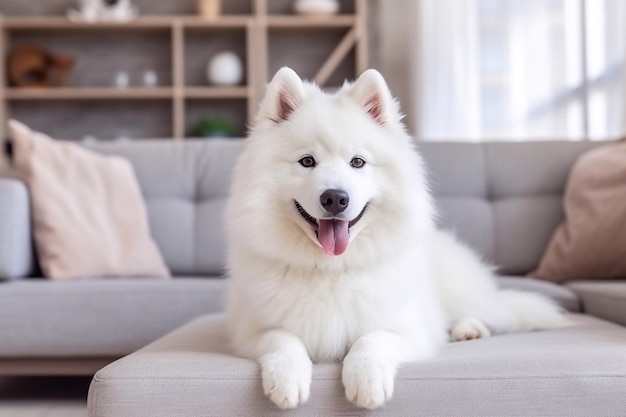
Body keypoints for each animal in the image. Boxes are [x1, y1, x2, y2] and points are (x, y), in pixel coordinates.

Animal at [224, 67, 564, 410]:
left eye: (357, 162)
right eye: (307, 161)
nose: (335, 198)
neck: (332, 268)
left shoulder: (409, 331)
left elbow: (372, 340)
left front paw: (367, 381)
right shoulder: (248, 332)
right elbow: (283, 338)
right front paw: (288, 380)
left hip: (461, 293)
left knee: (485, 313)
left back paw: (468, 329)